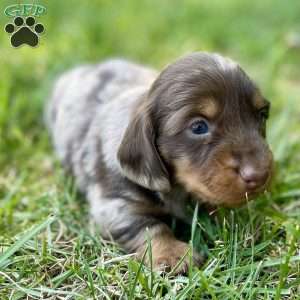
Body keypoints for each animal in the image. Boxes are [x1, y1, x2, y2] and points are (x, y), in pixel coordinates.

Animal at [45, 52, 274, 274]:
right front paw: (172, 253)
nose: (261, 174)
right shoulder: (115, 204)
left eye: (262, 115)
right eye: (198, 126)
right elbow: (149, 227)